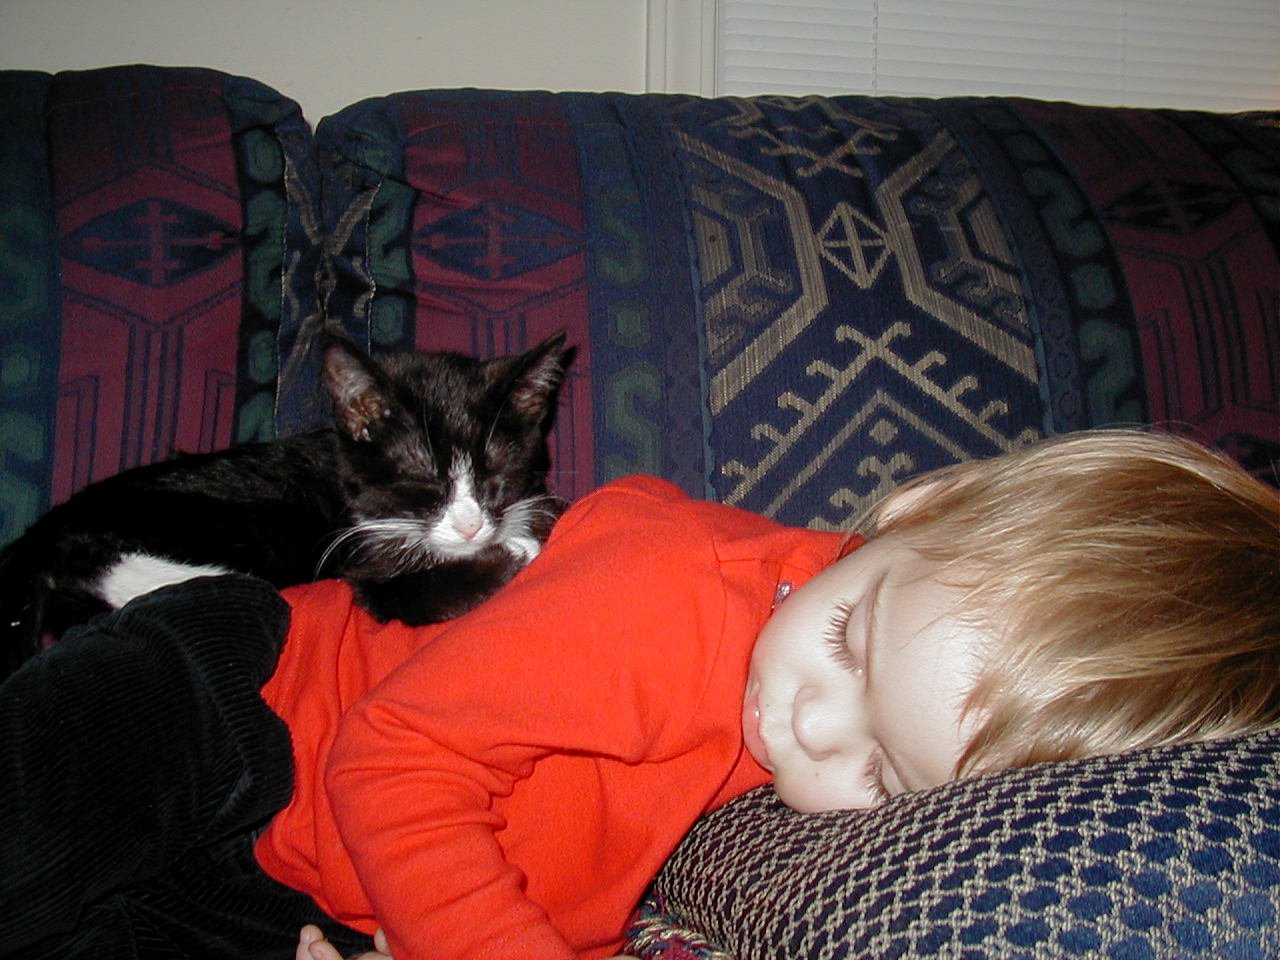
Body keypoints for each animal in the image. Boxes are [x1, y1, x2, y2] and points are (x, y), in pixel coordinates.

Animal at [0, 331, 572, 681]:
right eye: (421, 480)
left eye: (497, 472)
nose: (473, 528)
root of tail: (39, 539)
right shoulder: (358, 554)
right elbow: (398, 592)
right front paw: (516, 550)